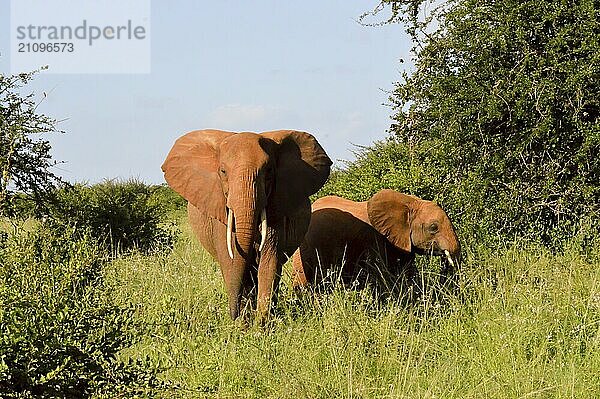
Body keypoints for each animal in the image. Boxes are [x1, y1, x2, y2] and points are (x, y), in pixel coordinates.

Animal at [162, 130, 330, 322]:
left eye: (269, 171)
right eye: (223, 171)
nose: (233, 315)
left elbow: (269, 262)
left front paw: (262, 324)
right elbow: (232, 262)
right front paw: (243, 323)